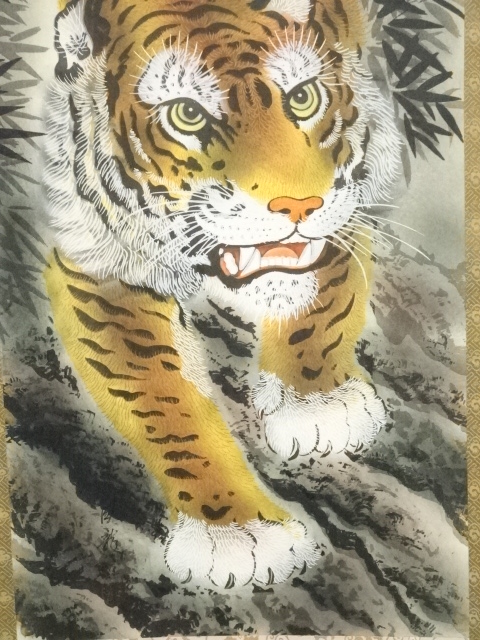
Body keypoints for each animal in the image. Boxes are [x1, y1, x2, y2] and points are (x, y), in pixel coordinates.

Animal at [43, 0, 402, 588]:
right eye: (188, 115)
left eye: (303, 98)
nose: (299, 206)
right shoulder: (98, 268)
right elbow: (169, 402)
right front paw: (238, 533)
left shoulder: (346, 212)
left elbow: (321, 303)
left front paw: (320, 404)